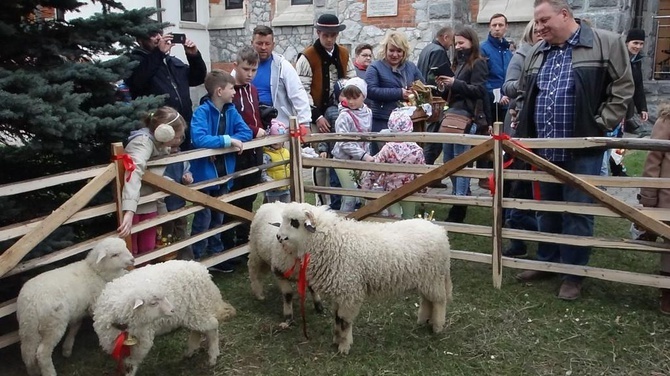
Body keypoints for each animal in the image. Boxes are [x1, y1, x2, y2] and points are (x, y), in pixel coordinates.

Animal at [17, 238, 135, 376]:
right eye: (114, 255)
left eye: (125, 247)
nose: (132, 259)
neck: (95, 271)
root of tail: (31, 302)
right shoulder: (96, 305)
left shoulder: (78, 310)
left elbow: (75, 326)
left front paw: (67, 349)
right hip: (54, 324)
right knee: (42, 353)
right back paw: (49, 372)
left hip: (28, 327)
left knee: (27, 352)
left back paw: (33, 371)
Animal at [92, 258, 239, 376]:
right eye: (153, 303)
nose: (173, 309)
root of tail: (201, 269)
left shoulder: (141, 342)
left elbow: (130, 365)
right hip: (193, 313)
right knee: (197, 330)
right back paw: (190, 351)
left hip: (198, 308)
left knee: (212, 326)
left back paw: (213, 355)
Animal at [276, 201, 454, 354]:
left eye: (294, 222)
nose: (278, 237)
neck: (331, 241)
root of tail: (439, 231)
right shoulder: (340, 290)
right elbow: (337, 318)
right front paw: (336, 340)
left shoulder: (349, 291)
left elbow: (344, 321)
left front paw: (343, 346)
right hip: (426, 278)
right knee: (427, 300)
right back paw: (424, 320)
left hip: (434, 277)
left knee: (439, 301)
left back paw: (437, 326)